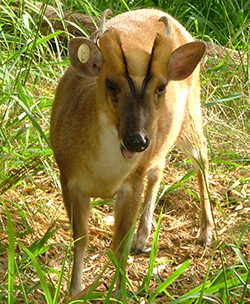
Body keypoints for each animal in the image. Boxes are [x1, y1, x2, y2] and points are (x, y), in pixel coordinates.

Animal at [49, 8, 214, 298]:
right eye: (110, 84)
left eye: (161, 87)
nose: (137, 140)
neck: (103, 175)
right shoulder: (67, 177)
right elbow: (80, 238)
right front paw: (74, 292)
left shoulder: (131, 184)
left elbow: (119, 244)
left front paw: (119, 293)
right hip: (163, 139)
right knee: (159, 169)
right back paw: (143, 236)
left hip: (191, 112)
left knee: (201, 158)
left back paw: (206, 232)